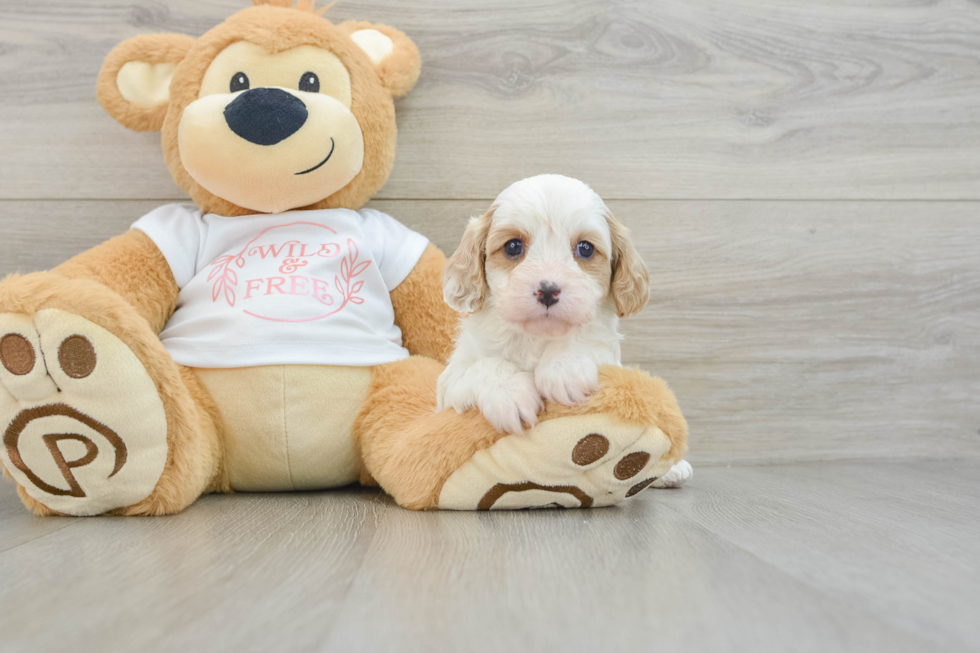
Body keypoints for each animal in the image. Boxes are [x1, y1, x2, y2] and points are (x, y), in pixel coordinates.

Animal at [438, 176, 652, 436]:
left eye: (586, 248)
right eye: (513, 246)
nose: (548, 291)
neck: (535, 338)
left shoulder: (610, 358)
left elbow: (586, 335)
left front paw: (564, 367)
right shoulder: (451, 381)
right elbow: (483, 366)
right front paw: (509, 393)